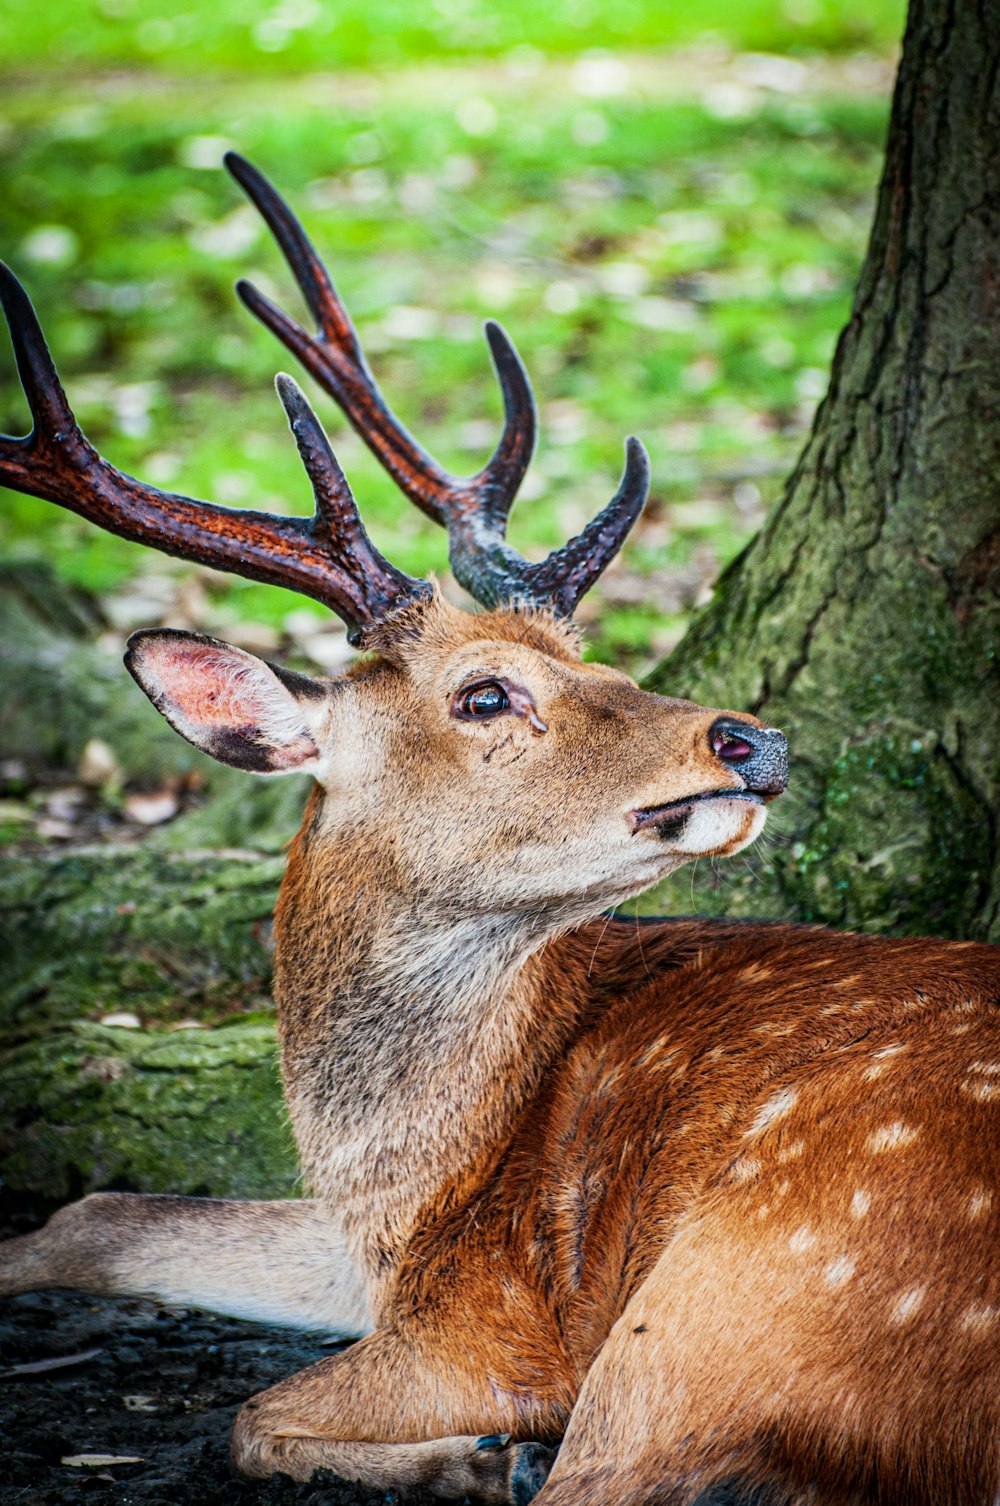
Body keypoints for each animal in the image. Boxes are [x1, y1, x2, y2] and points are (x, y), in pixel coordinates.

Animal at [1, 155, 1000, 1506]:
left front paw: (473, 1456)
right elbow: (98, 1213)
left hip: (738, 1293)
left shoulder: (491, 1320)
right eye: (485, 693)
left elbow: (247, 1417)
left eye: (594, 653)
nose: (753, 739)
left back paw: (510, 1463)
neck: (411, 1178)